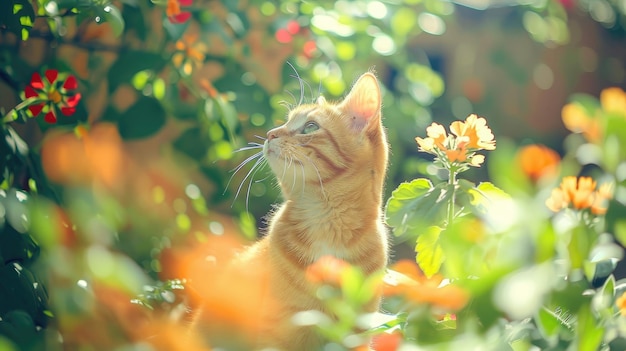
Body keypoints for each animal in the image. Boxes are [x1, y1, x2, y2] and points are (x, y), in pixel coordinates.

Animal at [190, 72, 388, 351]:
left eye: (310, 127)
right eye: (286, 122)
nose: (270, 134)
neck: (326, 225)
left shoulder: (353, 334)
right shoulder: (280, 331)